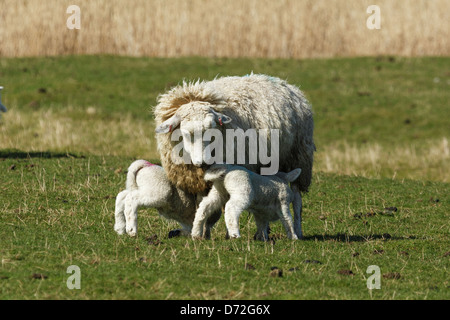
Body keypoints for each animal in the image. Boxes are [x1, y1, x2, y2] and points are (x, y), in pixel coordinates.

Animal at [153, 72, 314, 238]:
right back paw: (263, 233)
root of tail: (288, 85)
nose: (203, 161)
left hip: (299, 157)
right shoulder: (197, 181)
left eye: (212, 129)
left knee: (297, 199)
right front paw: (203, 234)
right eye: (185, 132)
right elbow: (201, 204)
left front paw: (225, 235)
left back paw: (297, 231)